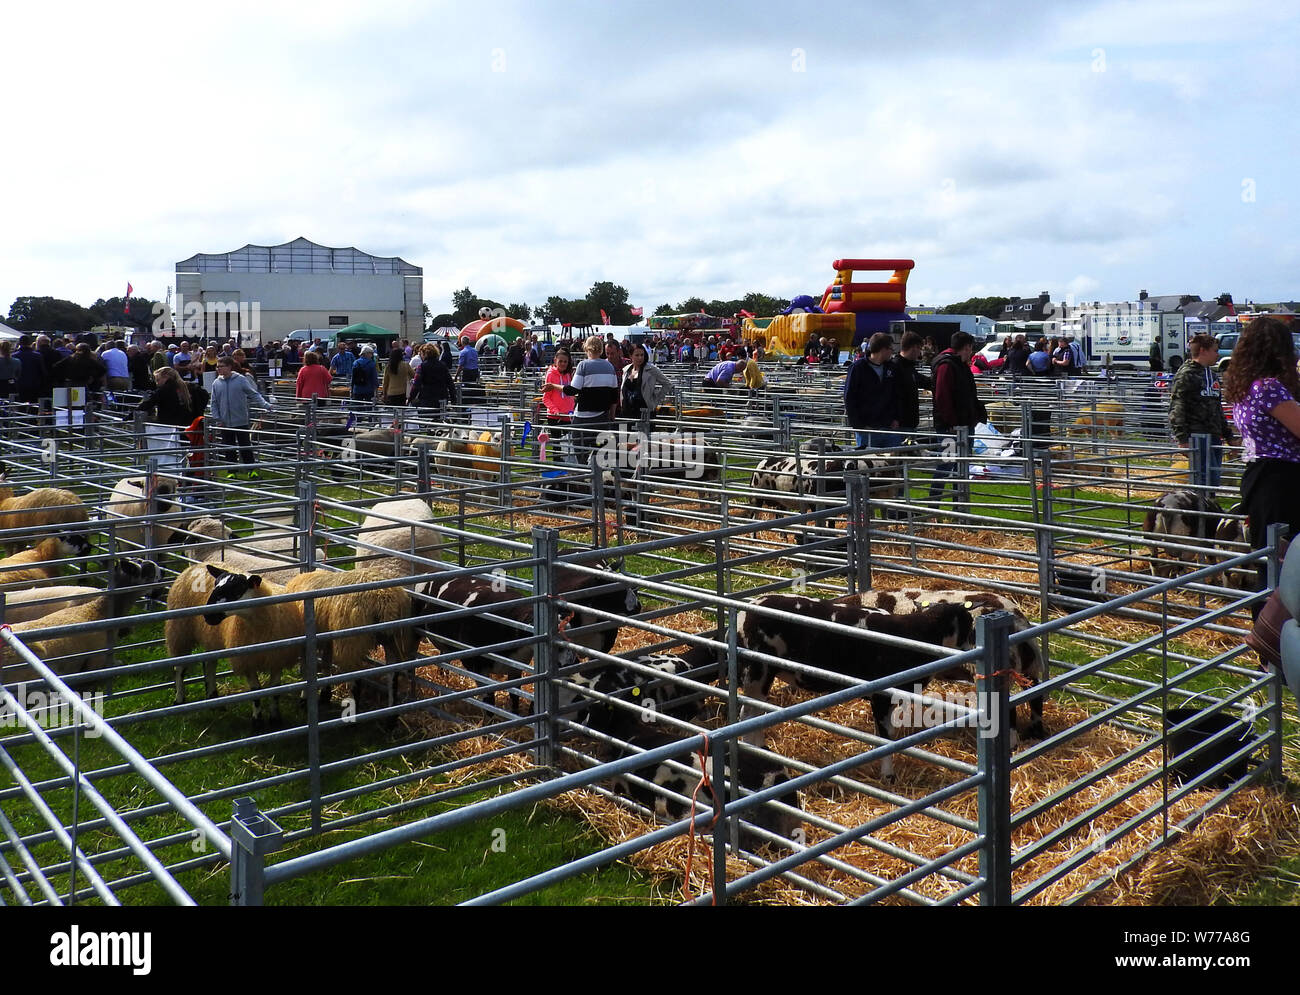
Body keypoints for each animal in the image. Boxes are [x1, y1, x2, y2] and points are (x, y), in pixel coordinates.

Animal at [733, 593, 977, 780]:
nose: (972, 650)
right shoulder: (882, 695)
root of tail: (748, 610)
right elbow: (886, 737)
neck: (915, 635)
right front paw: (888, 775)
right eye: (969, 624)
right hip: (757, 672)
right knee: (748, 716)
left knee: (756, 715)